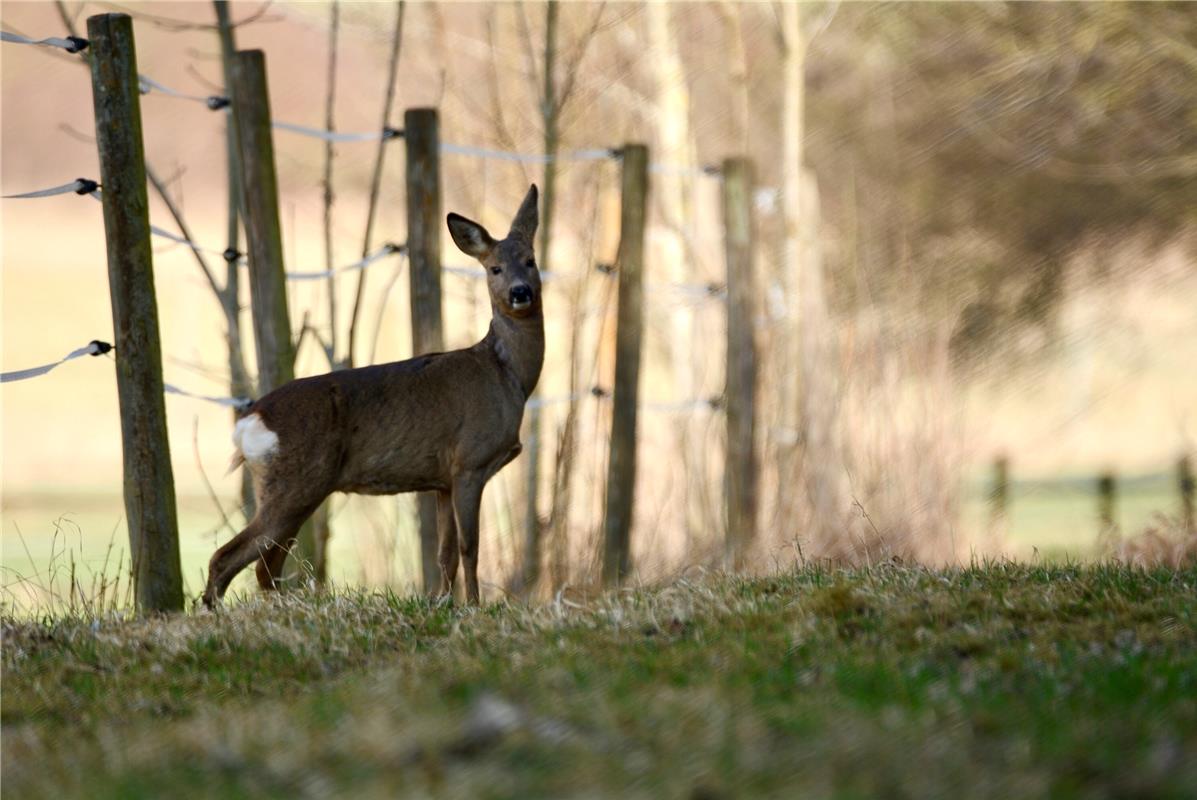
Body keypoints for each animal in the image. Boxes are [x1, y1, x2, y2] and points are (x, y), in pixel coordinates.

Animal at [203, 183, 545, 605]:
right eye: (494, 268)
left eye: (530, 260)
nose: (520, 292)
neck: (507, 376)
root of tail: (249, 421)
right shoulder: (470, 461)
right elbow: (471, 547)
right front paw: (475, 607)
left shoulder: (442, 478)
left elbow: (445, 553)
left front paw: (445, 604)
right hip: (295, 483)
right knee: (227, 557)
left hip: (291, 489)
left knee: (265, 566)